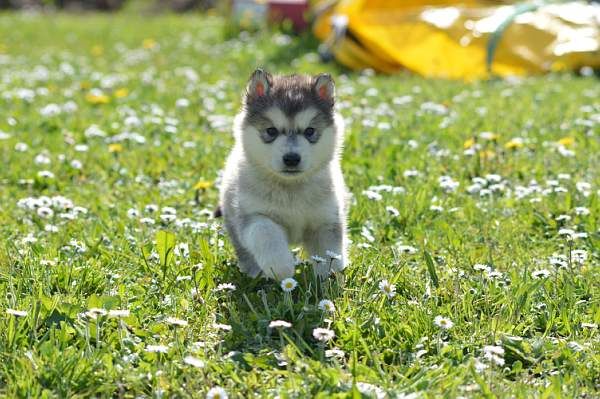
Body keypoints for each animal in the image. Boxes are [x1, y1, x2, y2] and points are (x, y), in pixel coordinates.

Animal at [217, 69, 346, 282]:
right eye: (271, 131)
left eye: (310, 131)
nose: (292, 159)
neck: (290, 188)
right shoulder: (252, 214)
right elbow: (265, 233)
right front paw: (280, 268)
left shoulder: (325, 219)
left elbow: (330, 252)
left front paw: (330, 278)